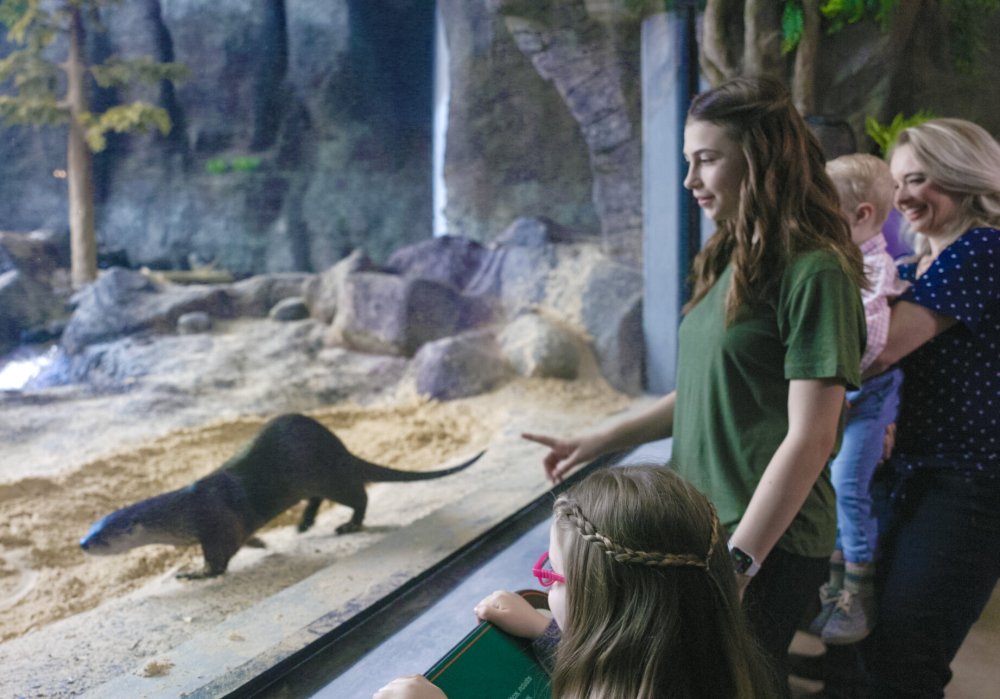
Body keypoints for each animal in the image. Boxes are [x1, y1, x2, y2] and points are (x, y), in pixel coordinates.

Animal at [79, 416, 484, 580]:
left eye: (102, 537)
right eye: (90, 529)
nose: (82, 544)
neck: (185, 511)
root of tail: (340, 449)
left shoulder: (215, 523)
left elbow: (220, 558)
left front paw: (195, 573)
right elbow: (243, 541)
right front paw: (260, 543)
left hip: (330, 475)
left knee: (359, 495)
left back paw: (349, 525)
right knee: (319, 499)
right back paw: (305, 524)